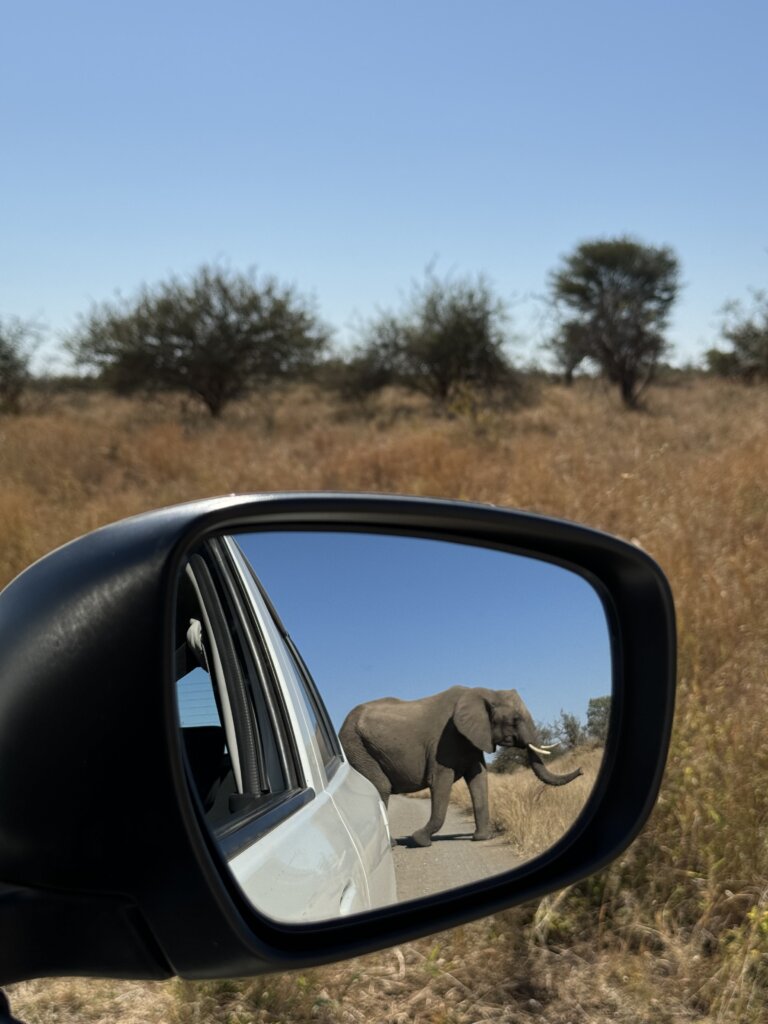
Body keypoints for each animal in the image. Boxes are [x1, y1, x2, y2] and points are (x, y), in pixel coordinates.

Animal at [342, 688, 581, 847]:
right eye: (514, 719)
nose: (581, 770)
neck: (486, 692)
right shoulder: (444, 741)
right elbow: (441, 781)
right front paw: (419, 840)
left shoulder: (472, 738)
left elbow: (479, 779)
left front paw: (482, 838)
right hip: (355, 745)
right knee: (381, 786)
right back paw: (390, 845)